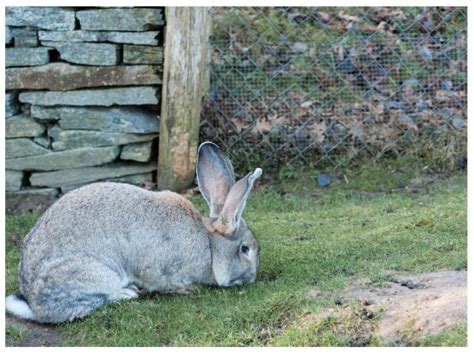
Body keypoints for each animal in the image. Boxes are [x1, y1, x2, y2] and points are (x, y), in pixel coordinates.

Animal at [5, 141, 262, 322]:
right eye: (245, 249)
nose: (252, 278)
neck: (209, 245)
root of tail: (33, 303)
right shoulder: (162, 269)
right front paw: (191, 288)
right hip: (93, 274)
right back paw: (127, 293)